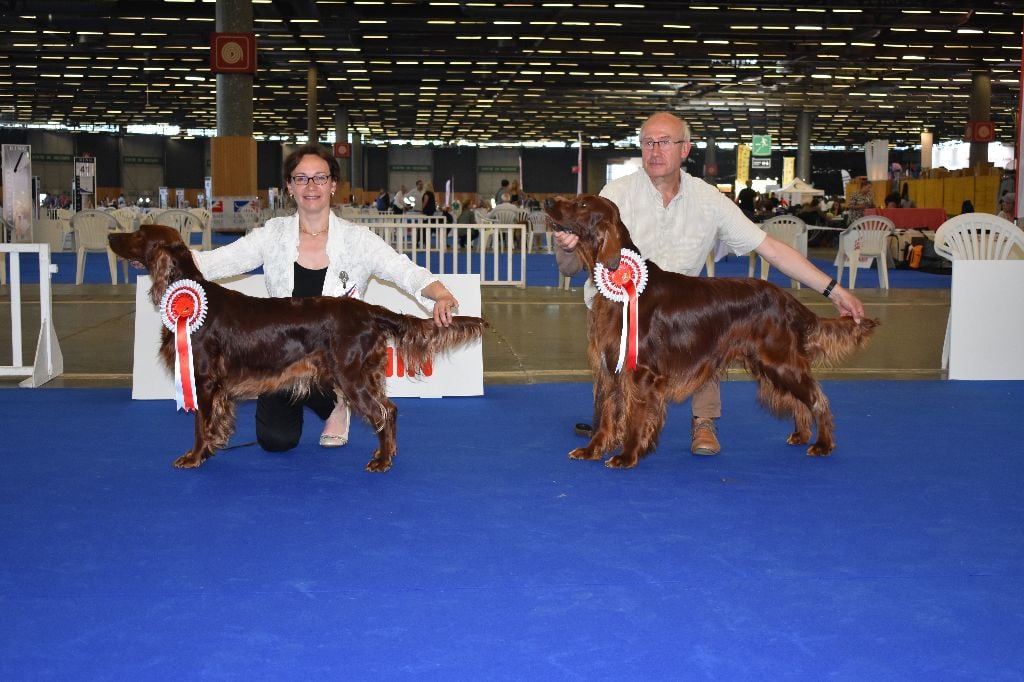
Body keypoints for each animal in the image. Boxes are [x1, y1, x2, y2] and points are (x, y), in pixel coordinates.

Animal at [110, 225, 485, 471]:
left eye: (140, 233)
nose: (111, 236)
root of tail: (368, 310)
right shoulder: (217, 387)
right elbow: (215, 420)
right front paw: (214, 446)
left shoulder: (203, 378)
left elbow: (200, 423)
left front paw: (194, 456)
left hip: (351, 375)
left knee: (386, 412)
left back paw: (382, 460)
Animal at [544, 193, 880, 464]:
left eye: (582, 204)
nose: (547, 201)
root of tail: (787, 300)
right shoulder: (609, 366)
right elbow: (605, 415)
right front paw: (592, 450)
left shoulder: (641, 371)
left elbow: (635, 416)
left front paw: (627, 456)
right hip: (771, 364)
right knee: (801, 400)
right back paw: (800, 434)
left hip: (781, 362)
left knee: (817, 399)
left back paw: (823, 444)